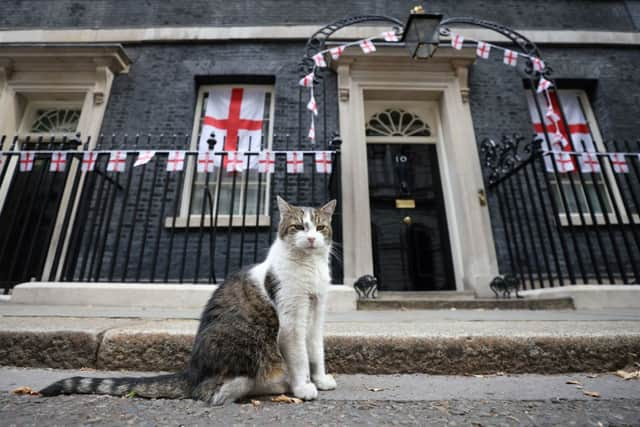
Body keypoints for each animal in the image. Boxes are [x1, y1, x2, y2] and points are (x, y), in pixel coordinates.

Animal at [38, 196, 340, 404]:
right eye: (299, 226)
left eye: (320, 227)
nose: (311, 238)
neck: (310, 267)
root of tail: (192, 371)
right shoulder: (291, 319)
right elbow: (299, 356)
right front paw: (303, 387)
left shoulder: (317, 311)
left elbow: (315, 350)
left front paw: (320, 379)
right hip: (248, 339)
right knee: (209, 391)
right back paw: (267, 385)